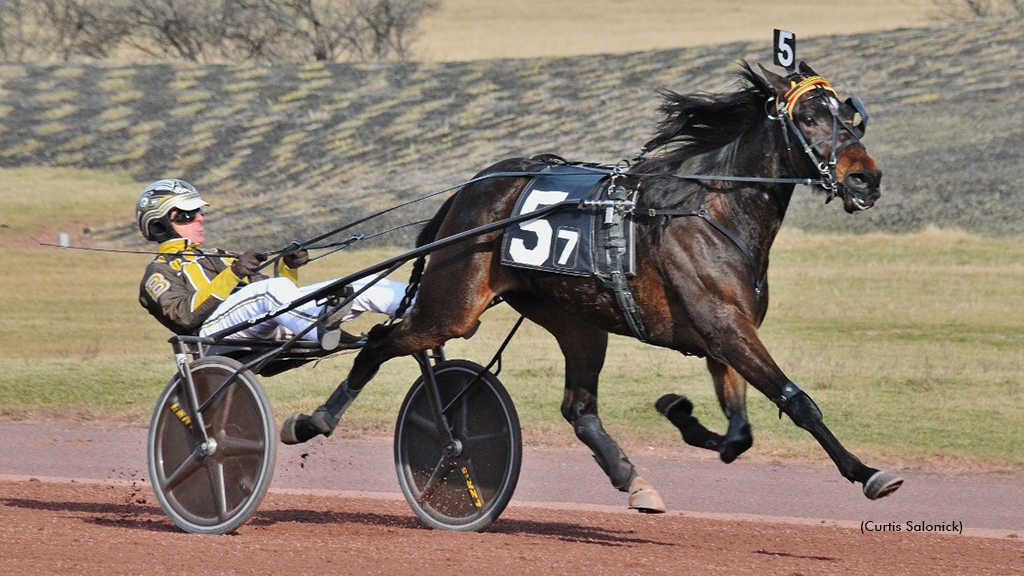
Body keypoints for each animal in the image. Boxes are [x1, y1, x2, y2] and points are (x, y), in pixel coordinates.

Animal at [282, 61, 905, 506]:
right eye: (809, 118)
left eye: (852, 117)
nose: (865, 179)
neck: (712, 208)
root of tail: (472, 188)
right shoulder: (726, 328)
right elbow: (797, 403)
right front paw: (867, 472)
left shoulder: (723, 334)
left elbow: (739, 433)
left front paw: (679, 411)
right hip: (452, 305)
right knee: (382, 341)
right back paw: (312, 420)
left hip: (577, 321)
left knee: (579, 408)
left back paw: (632, 479)